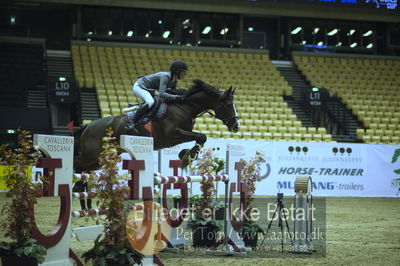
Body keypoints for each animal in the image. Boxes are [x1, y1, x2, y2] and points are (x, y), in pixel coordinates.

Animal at [73, 78, 239, 172]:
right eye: (227, 105)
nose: (236, 126)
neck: (184, 107)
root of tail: (88, 126)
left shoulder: (178, 137)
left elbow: (200, 138)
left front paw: (186, 155)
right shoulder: (173, 134)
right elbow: (201, 136)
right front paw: (187, 158)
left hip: (98, 160)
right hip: (91, 154)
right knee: (75, 162)